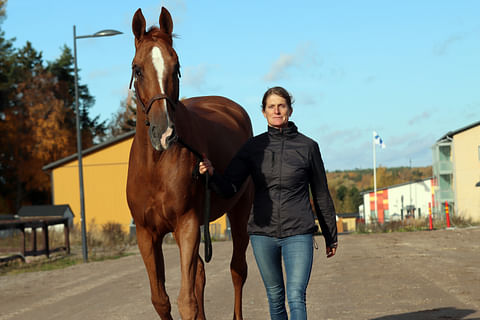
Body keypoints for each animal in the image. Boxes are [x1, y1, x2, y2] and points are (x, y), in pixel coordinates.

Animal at [126, 5, 255, 320]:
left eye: (176, 67)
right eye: (138, 69)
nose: (164, 133)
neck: (154, 166)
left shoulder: (186, 225)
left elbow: (186, 300)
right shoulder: (147, 235)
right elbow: (161, 299)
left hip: (239, 213)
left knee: (237, 271)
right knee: (200, 277)